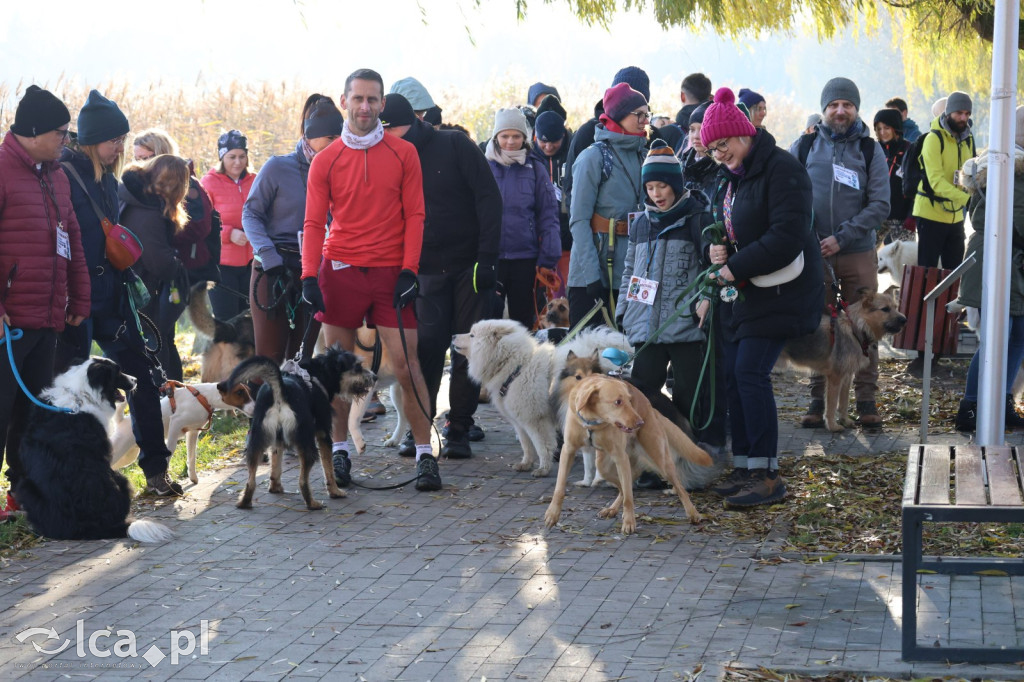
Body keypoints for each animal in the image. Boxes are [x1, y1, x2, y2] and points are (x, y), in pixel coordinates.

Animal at [14, 356, 173, 540]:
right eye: (118, 372)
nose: (135, 380)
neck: (80, 395)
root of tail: (85, 526)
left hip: (25, 488)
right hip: (120, 478)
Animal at [219, 348, 376, 507]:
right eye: (357, 367)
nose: (375, 377)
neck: (319, 373)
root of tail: (280, 389)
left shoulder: (277, 439)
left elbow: (275, 464)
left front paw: (275, 487)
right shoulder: (323, 433)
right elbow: (328, 468)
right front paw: (335, 491)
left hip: (256, 441)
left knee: (250, 481)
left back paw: (244, 502)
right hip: (307, 443)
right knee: (302, 481)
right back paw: (313, 503)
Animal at [544, 374, 712, 532]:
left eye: (630, 400)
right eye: (618, 402)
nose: (640, 423)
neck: (592, 422)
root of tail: (651, 409)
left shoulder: (620, 457)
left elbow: (629, 499)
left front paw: (629, 522)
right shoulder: (568, 450)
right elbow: (559, 488)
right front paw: (552, 514)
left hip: (660, 461)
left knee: (678, 487)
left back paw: (693, 513)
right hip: (605, 466)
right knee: (625, 486)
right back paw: (612, 509)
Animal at [778, 288, 909, 430]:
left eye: (895, 307)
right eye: (885, 309)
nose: (904, 320)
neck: (856, 328)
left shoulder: (847, 377)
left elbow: (843, 402)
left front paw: (845, 421)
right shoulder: (835, 377)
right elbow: (832, 404)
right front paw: (832, 426)